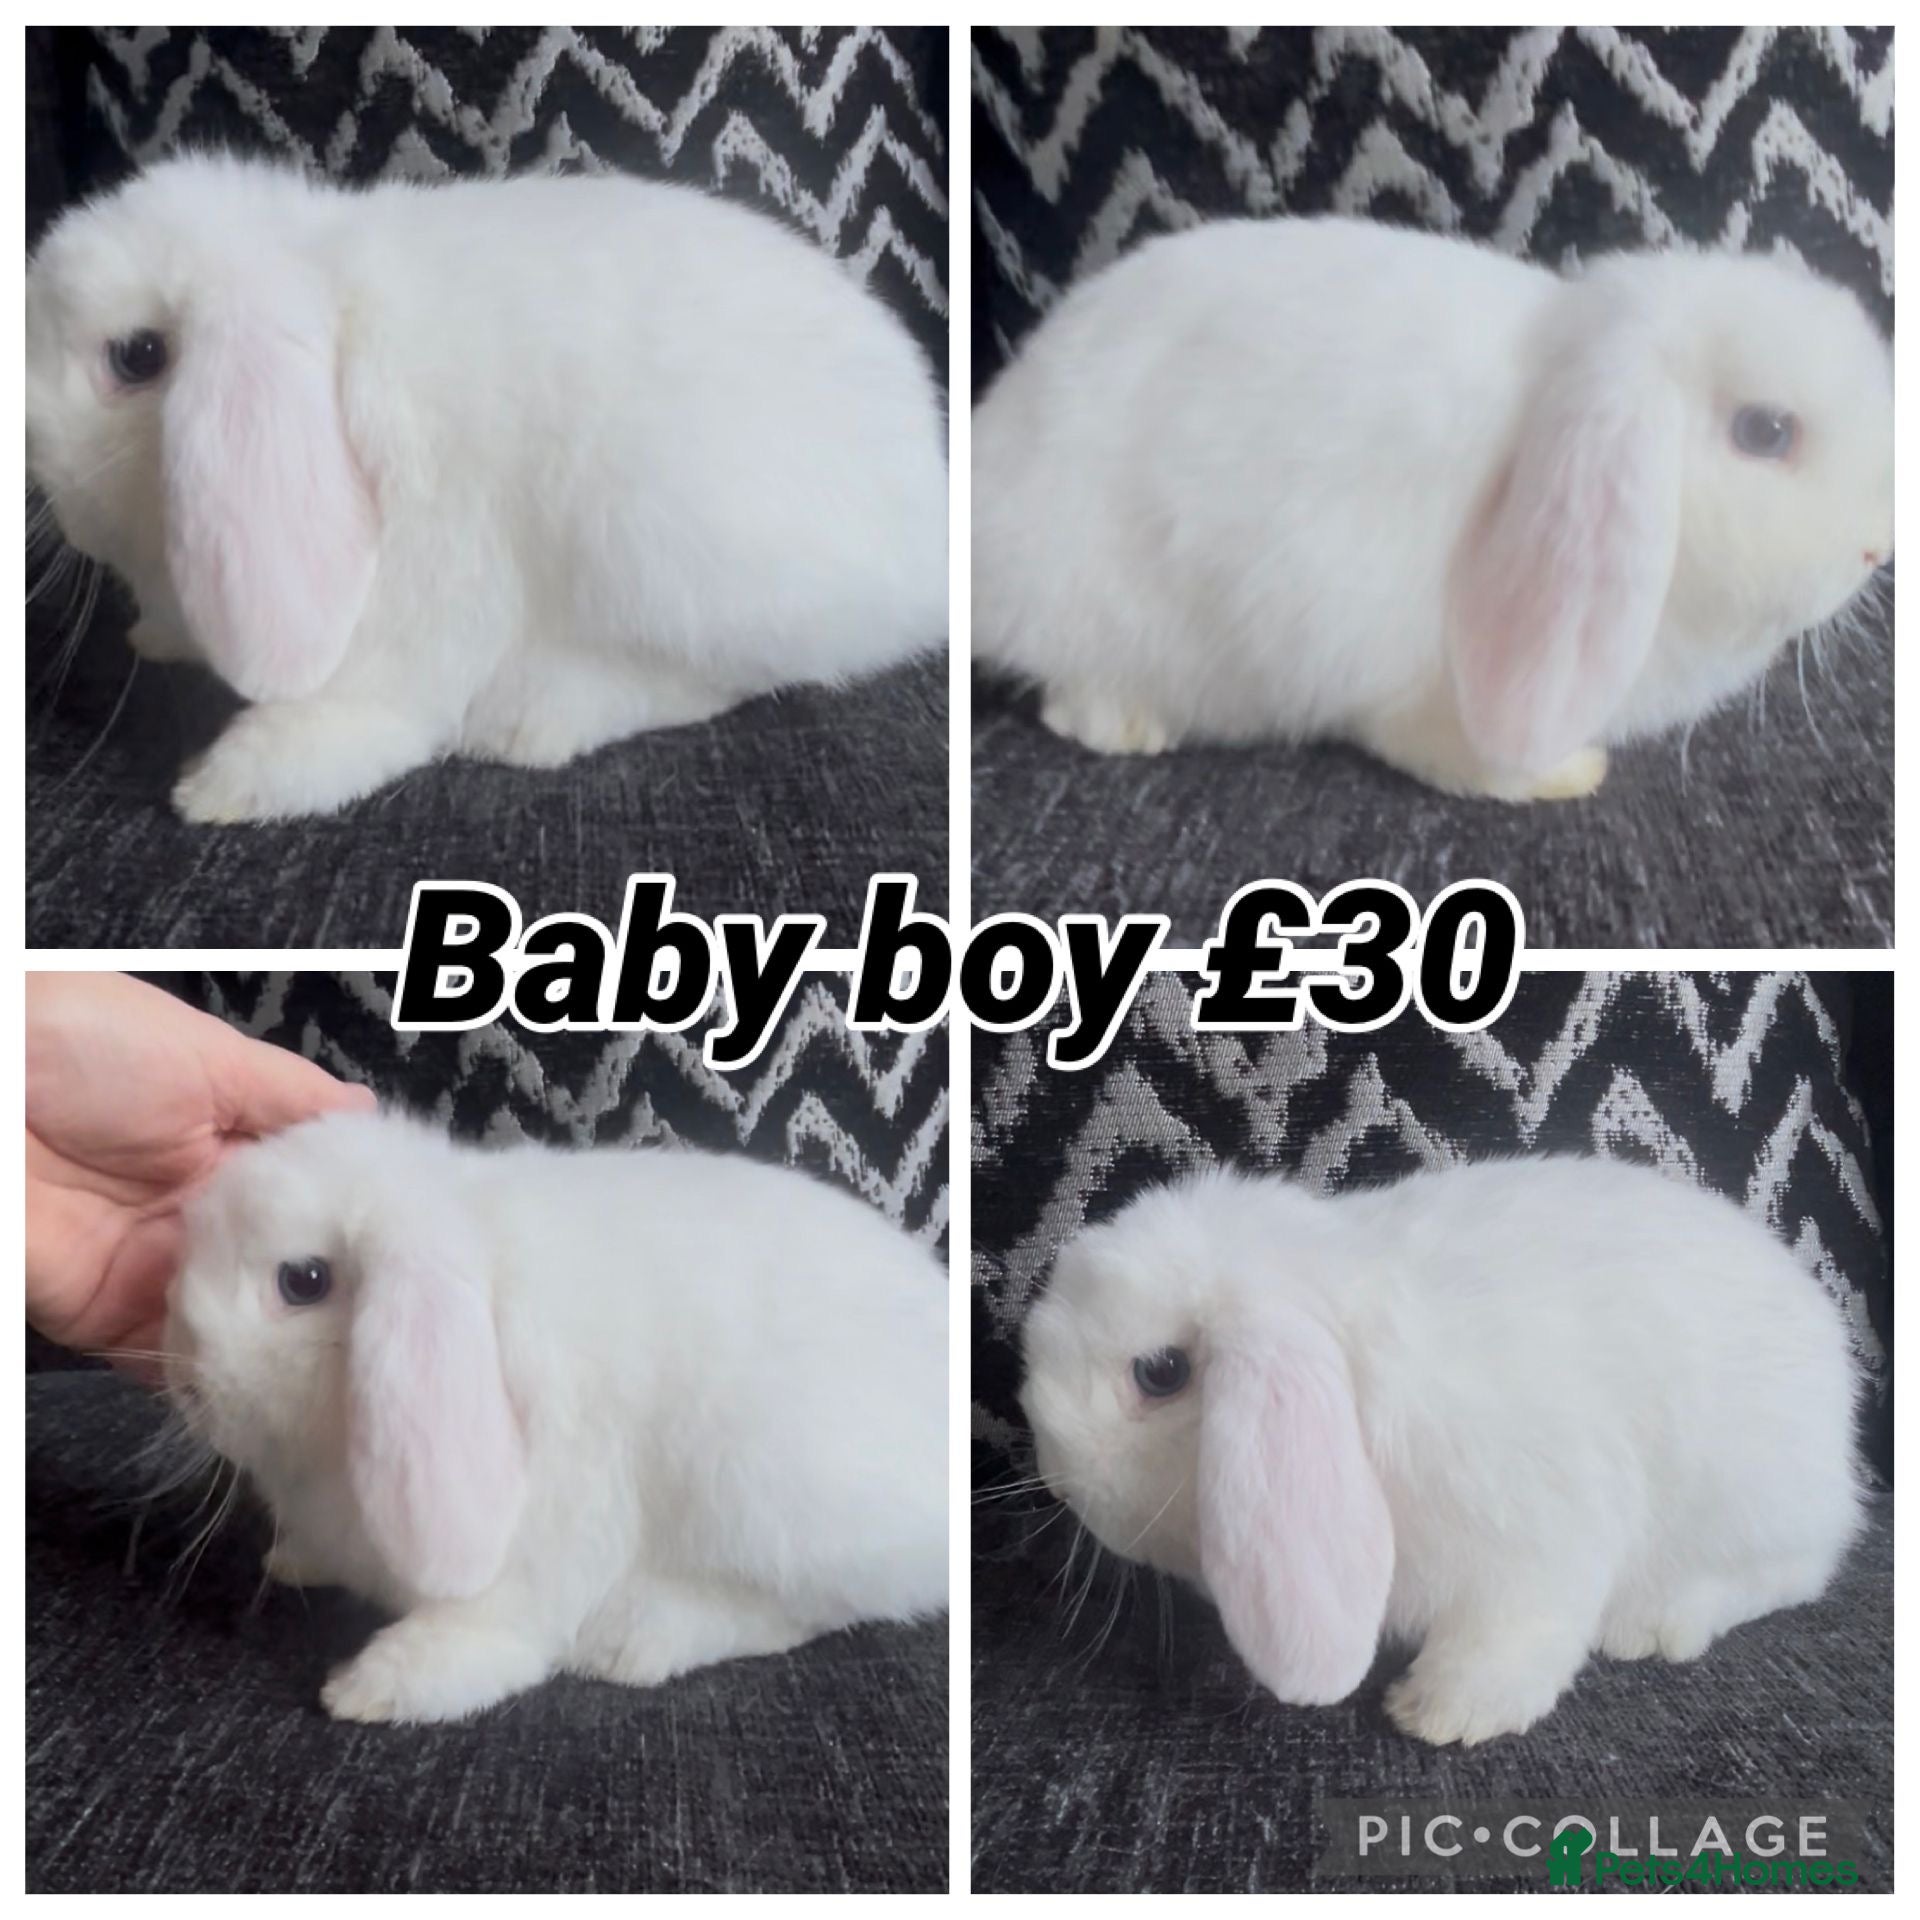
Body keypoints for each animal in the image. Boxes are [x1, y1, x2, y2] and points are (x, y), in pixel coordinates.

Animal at [25, 151, 949, 823]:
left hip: (687, 552)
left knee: (720, 679)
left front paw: (222, 786)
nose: (37, 461)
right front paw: (156, 636)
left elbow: (373, 714)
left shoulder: (429, 588)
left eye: (137, 357)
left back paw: (532, 719)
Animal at [162, 1108, 948, 1723]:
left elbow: (491, 1632)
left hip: (774, 1486)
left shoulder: (552, 1528)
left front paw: (372, 1688)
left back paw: (634, 1637)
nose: (183, 1378)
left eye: (303, 1281)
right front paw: (294, 1559)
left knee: (808, 1607)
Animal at [1019, 1156, 1862, 1746]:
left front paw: (1444, 1712)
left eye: (1160, 1372)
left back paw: (1653, 1623)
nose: (1055, 1477)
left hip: (1745, 1500)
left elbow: (1515, 1634)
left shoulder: (1538, 1537)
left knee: (1789, 1575)